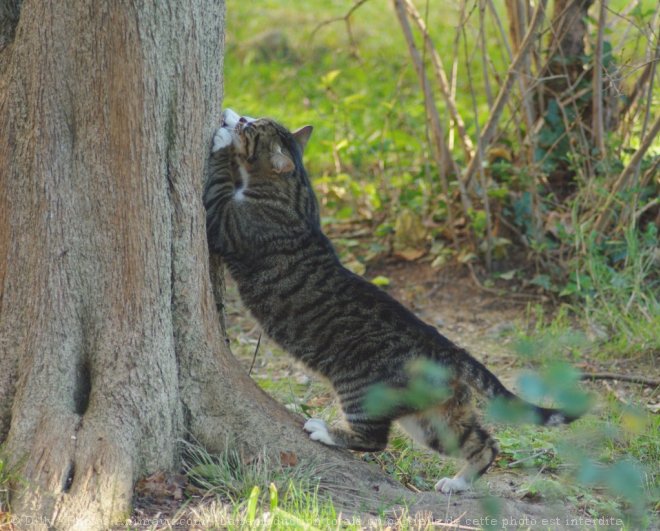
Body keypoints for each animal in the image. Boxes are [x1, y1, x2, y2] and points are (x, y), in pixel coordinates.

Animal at [202, 109, 576, 494]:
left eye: (249, 127)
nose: (234, 116)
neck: (296, 192)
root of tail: (449, 350)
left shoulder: (226, 223)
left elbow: (216, 186)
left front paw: (221, 141)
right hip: (432, 420)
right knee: (484, 443)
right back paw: (458, 482)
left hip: (363, 393)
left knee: (374, 440)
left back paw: (325, 431)